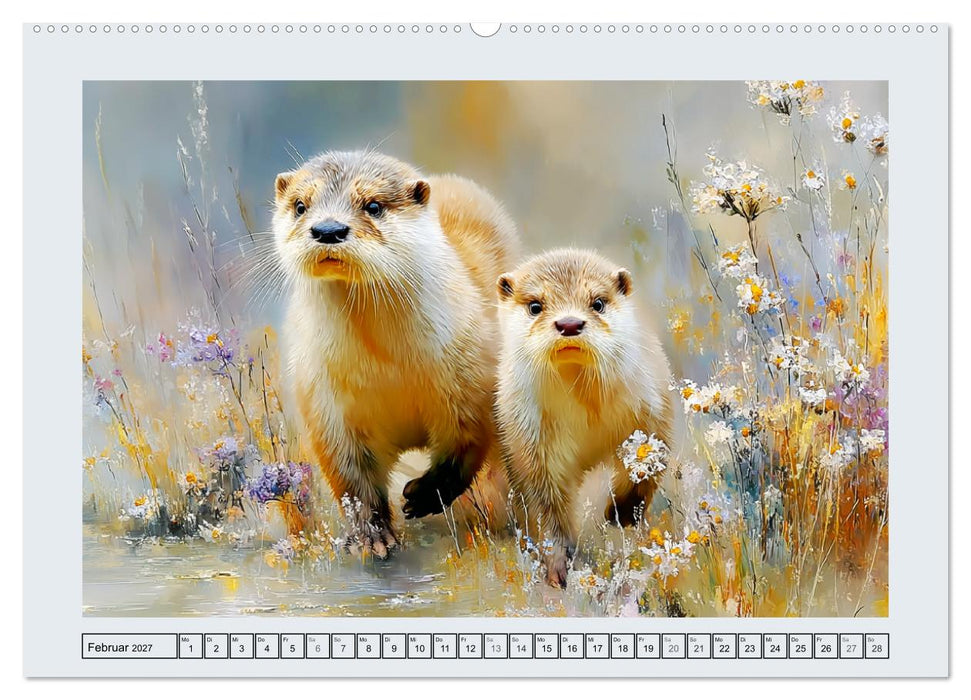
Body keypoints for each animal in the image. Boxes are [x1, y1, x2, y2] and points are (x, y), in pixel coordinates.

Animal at [273, 150, 519, 557]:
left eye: (373, 205)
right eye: (300, 205)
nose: (328, 230)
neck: (387, 368)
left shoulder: (470, 379)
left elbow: (465, 446)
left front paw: (424, 495)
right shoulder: (325, 401)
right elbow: (350, 477)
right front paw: (371, 536)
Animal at [495, 248, 675, 587]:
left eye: (598, 303)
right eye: (535, 306)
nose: (568, 323)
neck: (587, 417)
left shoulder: (653, 411)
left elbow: (644, 471)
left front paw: (622, 514)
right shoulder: (530, 441)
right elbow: (547, 506)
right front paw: (557, 564)